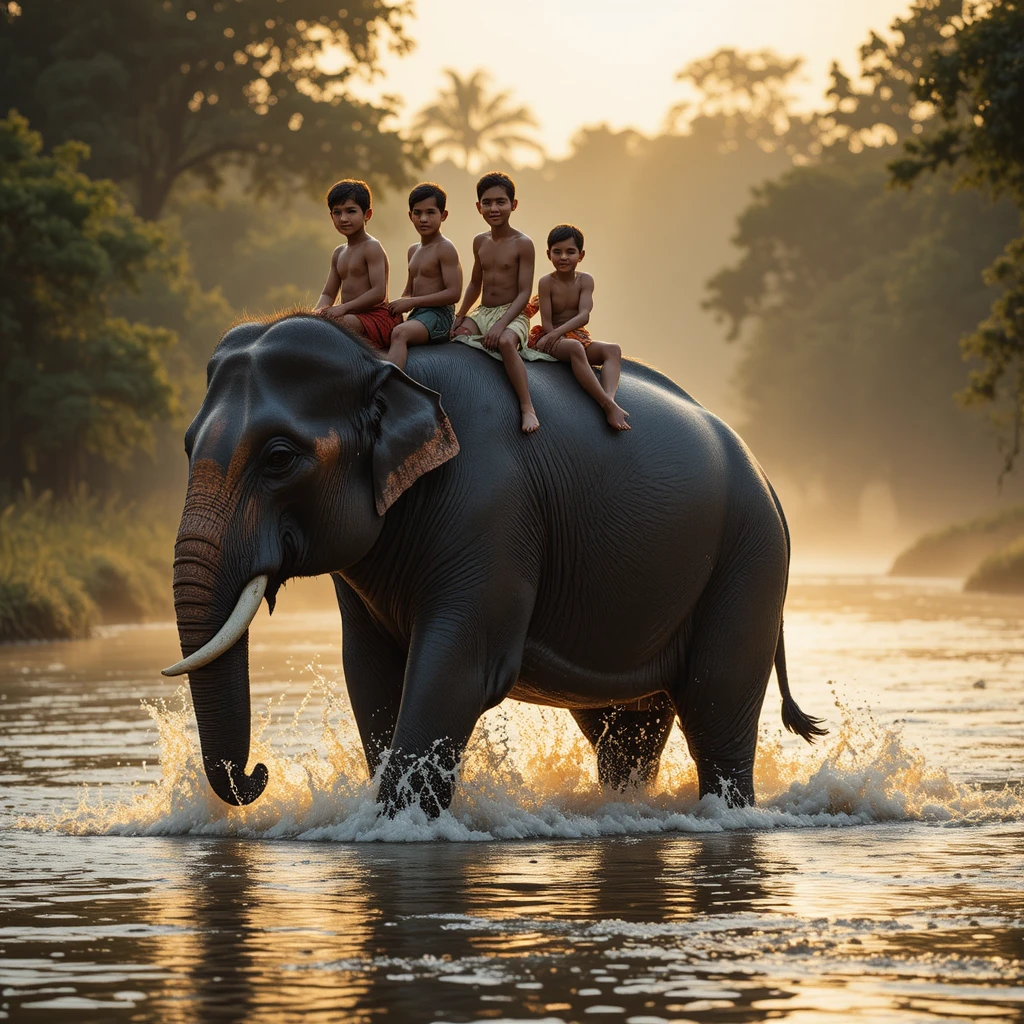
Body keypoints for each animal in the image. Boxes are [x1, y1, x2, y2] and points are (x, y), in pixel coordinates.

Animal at [163, 313, 825, 815]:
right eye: (187, 447)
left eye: (279, 458)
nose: (259, 771)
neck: (382, 365)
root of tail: (767, 479)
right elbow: (371, 672)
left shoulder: (492, 511)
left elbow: (457, 671)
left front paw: (394, 824)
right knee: (625, 732)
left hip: (749, 560)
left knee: (715, 711)